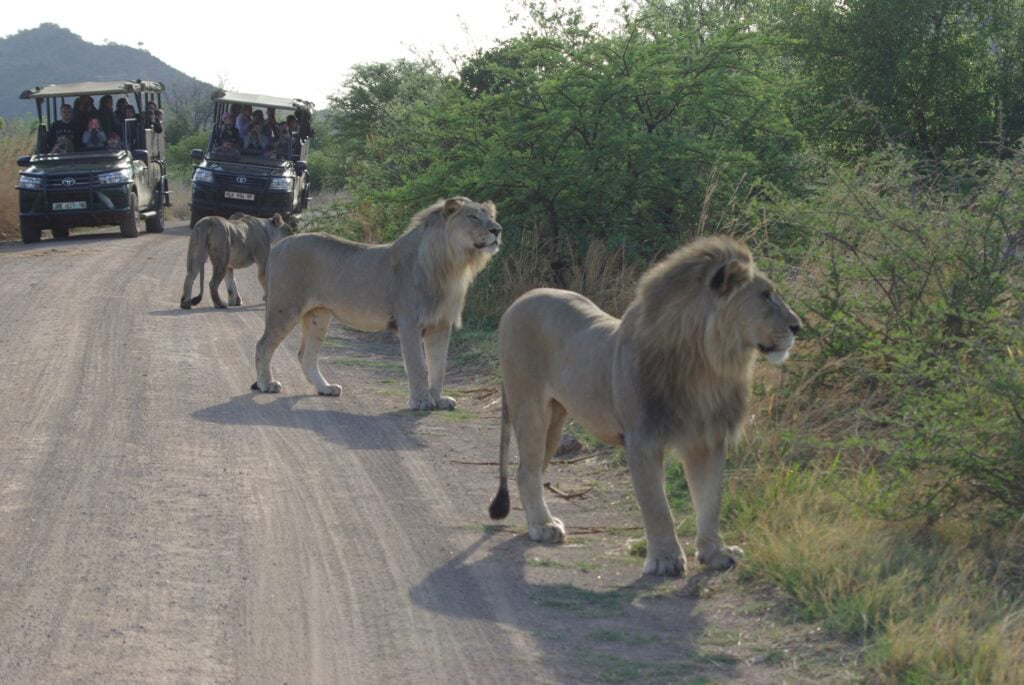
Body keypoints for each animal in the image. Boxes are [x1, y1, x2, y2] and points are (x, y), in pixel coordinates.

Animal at [252, 196, 501, 410]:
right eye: (473, 216)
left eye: (490, 215)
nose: (497, 230)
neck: (451, 266)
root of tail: (279, 245)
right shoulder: (409, 323)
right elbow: (418, 366)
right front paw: (421, 401)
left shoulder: (440, 324)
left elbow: (439, 366)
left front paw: (439, 400)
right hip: (284, 308)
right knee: (263, 345)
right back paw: (267, 384)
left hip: (318, 315)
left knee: (306, 355)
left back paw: (325, 388)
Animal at [488, 236, 801, 576]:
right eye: (765, 295)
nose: (798, 326)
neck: (707, 365)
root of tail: (520, 300)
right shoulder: (642, 440)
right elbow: (657, 506)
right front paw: (665, 559)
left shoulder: (707, 439)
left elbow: (710, 500)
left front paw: (716, 553)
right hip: (530, 406)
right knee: (526, 470)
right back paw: (543, 526)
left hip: (556, 418)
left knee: (531, 469)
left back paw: (538, 520)